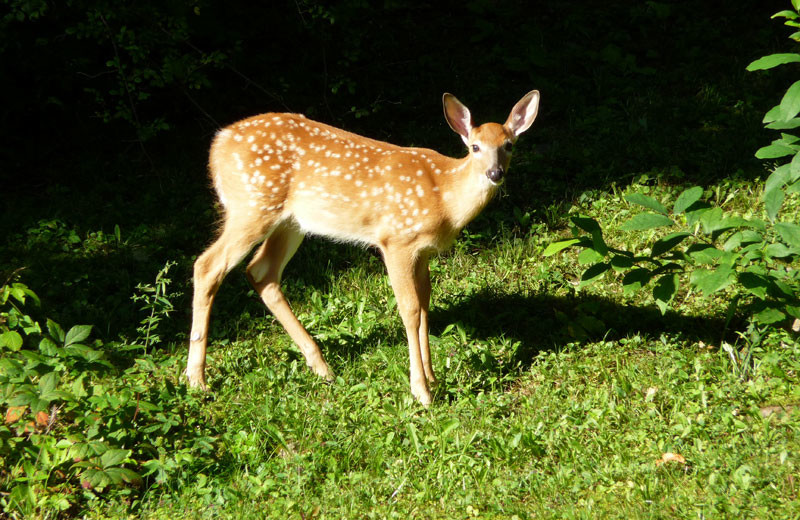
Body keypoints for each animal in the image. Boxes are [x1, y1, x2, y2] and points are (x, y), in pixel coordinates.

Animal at [187, 89, 536, 406]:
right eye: (475, 147)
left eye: (508, 145)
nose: (495, 173)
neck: (445, 197)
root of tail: (218, 144)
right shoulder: (395, 240)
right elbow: (410, 310)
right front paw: (421, 392)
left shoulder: (422, 252)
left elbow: (425, 305)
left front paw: (433, 379)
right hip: (252, 206)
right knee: (207, 266)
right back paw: (196, 379)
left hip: (290, 222)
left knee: (261, 271)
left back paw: (321, 367)